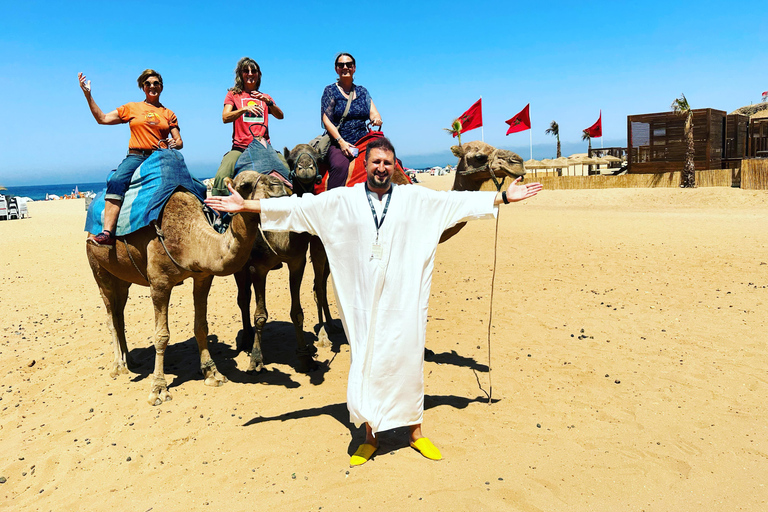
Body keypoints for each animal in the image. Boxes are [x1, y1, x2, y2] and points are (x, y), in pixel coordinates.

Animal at [84, 171, 288, 404]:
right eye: (245, 185)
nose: (280, 186)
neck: (190, 237)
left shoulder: (203, 277)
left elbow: (201, 326)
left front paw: (212, 373)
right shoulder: (159, 283)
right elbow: (161, 336)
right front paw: (158, 389)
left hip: (123, 278)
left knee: (119, 314)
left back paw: (131, 360)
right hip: (99, 268)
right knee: (110, 315)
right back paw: (118, 366)